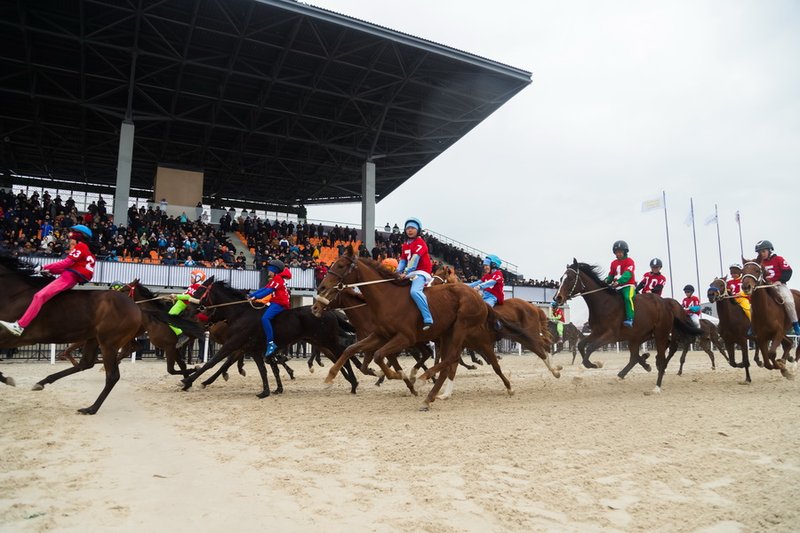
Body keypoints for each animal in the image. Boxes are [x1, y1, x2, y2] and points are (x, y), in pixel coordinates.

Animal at [0, 251, 141, 414]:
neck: (14, 295)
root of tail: (135, 307)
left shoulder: (15, 337)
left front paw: (7, 379)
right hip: (93, 338)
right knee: (86, 363)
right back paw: (43, 381)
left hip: (108, 343)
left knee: (112, 376)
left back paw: (91, 408)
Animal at [181, 280, 360, 396]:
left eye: (200, 291)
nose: (188, 311)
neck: (240, 314)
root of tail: (329, 311)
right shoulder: (251, 349)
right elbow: (263, 369)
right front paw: (270, 389)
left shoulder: (233, 344)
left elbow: (213, 362)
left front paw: (188, 381)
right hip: (318, 340)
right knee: (340, 354)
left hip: (327, 340)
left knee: (343, 352)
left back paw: (353, 381)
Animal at [316, 247, 552, 410]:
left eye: (340, 266)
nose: (320, 290)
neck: (387, 299)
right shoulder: (381, 335)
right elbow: (353, 350)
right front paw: (329, 379)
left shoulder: (405, 337)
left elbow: (379, 356)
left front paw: (400, 377)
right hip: (454, 334)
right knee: (454, 361)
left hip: (462, 329)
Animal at [556, 260, 700, 392]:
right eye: (561, 278)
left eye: (570, 278)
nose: (558, 298)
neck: (604, 303)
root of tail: (666, 306)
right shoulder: (597, 332)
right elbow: (582, 345)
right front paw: (593, 365)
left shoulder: (611, 335)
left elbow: (590, 348)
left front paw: (585, 371)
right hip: (637, 338)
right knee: (635, 356)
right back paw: (626, 372)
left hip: (661, 334)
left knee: (664, 354)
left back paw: (657, 385)